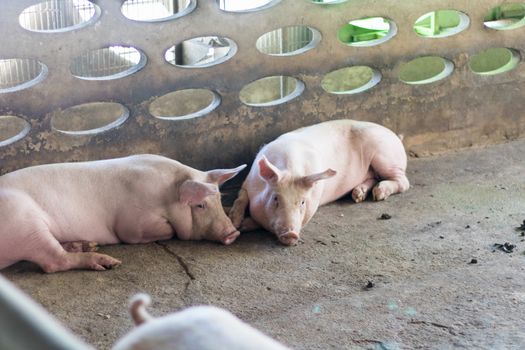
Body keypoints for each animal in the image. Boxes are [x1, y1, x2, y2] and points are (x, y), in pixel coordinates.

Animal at [0, 155, 246, 274]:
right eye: (200, 205)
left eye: (219, 199)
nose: (233, 233)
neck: (167, 195)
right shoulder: (132, 224)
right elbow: (148, 232)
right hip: (26, 224)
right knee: (53, 262)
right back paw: (107, 262)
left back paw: (86, 245)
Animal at [229, 119, 410, 245]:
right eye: (275, 198)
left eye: (303, 202)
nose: (291, 234)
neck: (291, 169)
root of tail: (395, 135)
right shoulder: (247, 183)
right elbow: (241, 197)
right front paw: (235, 222)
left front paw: (243, 225)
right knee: (373, 178)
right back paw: (358, 195)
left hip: (385, 157)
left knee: (403, 182)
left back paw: (378, 194)